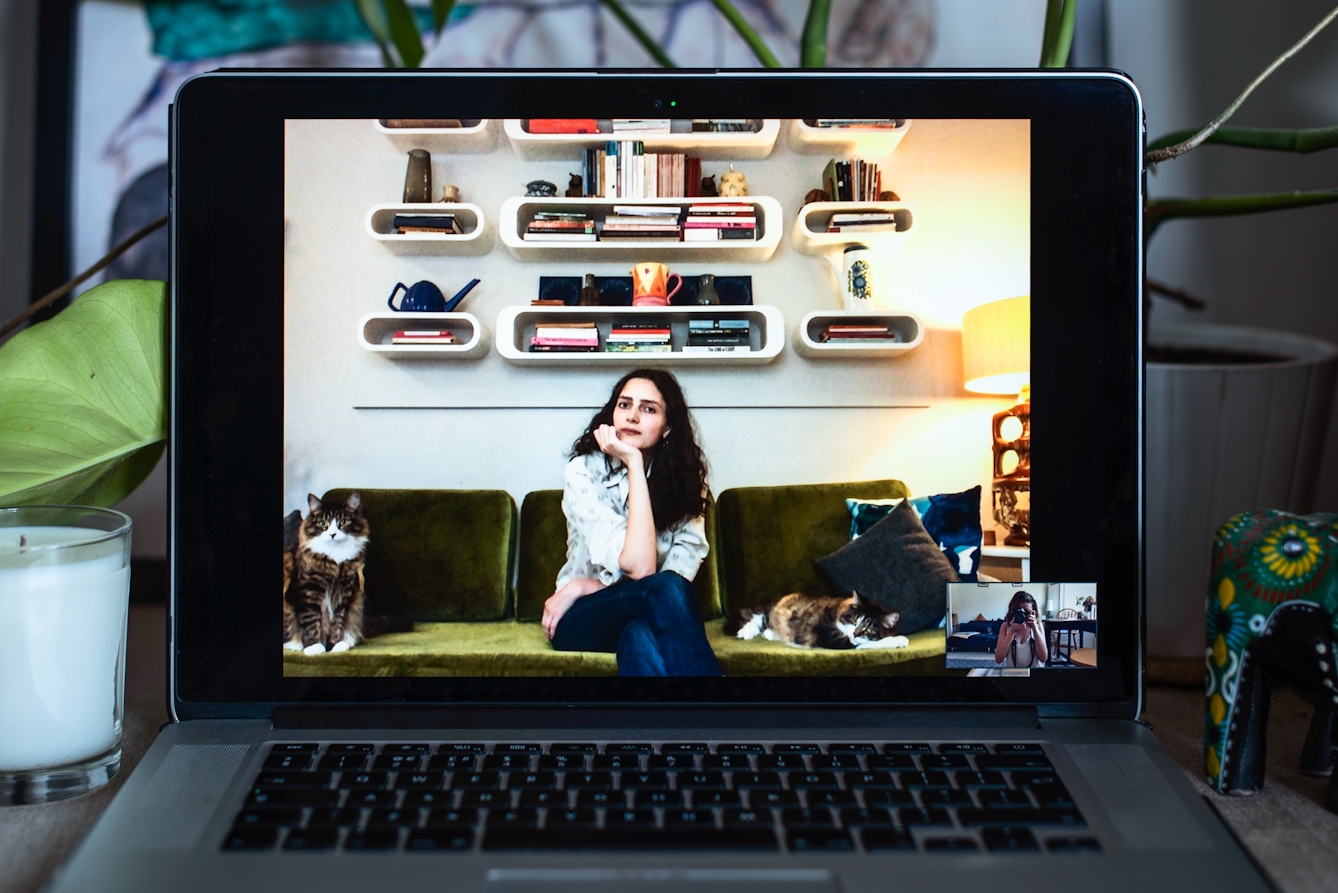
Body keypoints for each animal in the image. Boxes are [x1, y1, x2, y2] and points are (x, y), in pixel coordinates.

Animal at [280, 490, 366, 656]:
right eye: (323, 523)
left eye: (343, 522)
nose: (333, 534)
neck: (335, 557)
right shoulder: (306, 590)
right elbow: (310, 621)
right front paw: (314, 647)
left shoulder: (345, 591)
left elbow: (337, 621)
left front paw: (334, 645)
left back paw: (345, 642)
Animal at [727, 594, 904, 650]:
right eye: (854, 621)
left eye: (868, 629)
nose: (855, 633)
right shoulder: (831, 638)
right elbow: (871, 643)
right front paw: (899, 640)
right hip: (769, 613)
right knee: (758, 618)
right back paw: (744, 633)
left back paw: (769, 634)